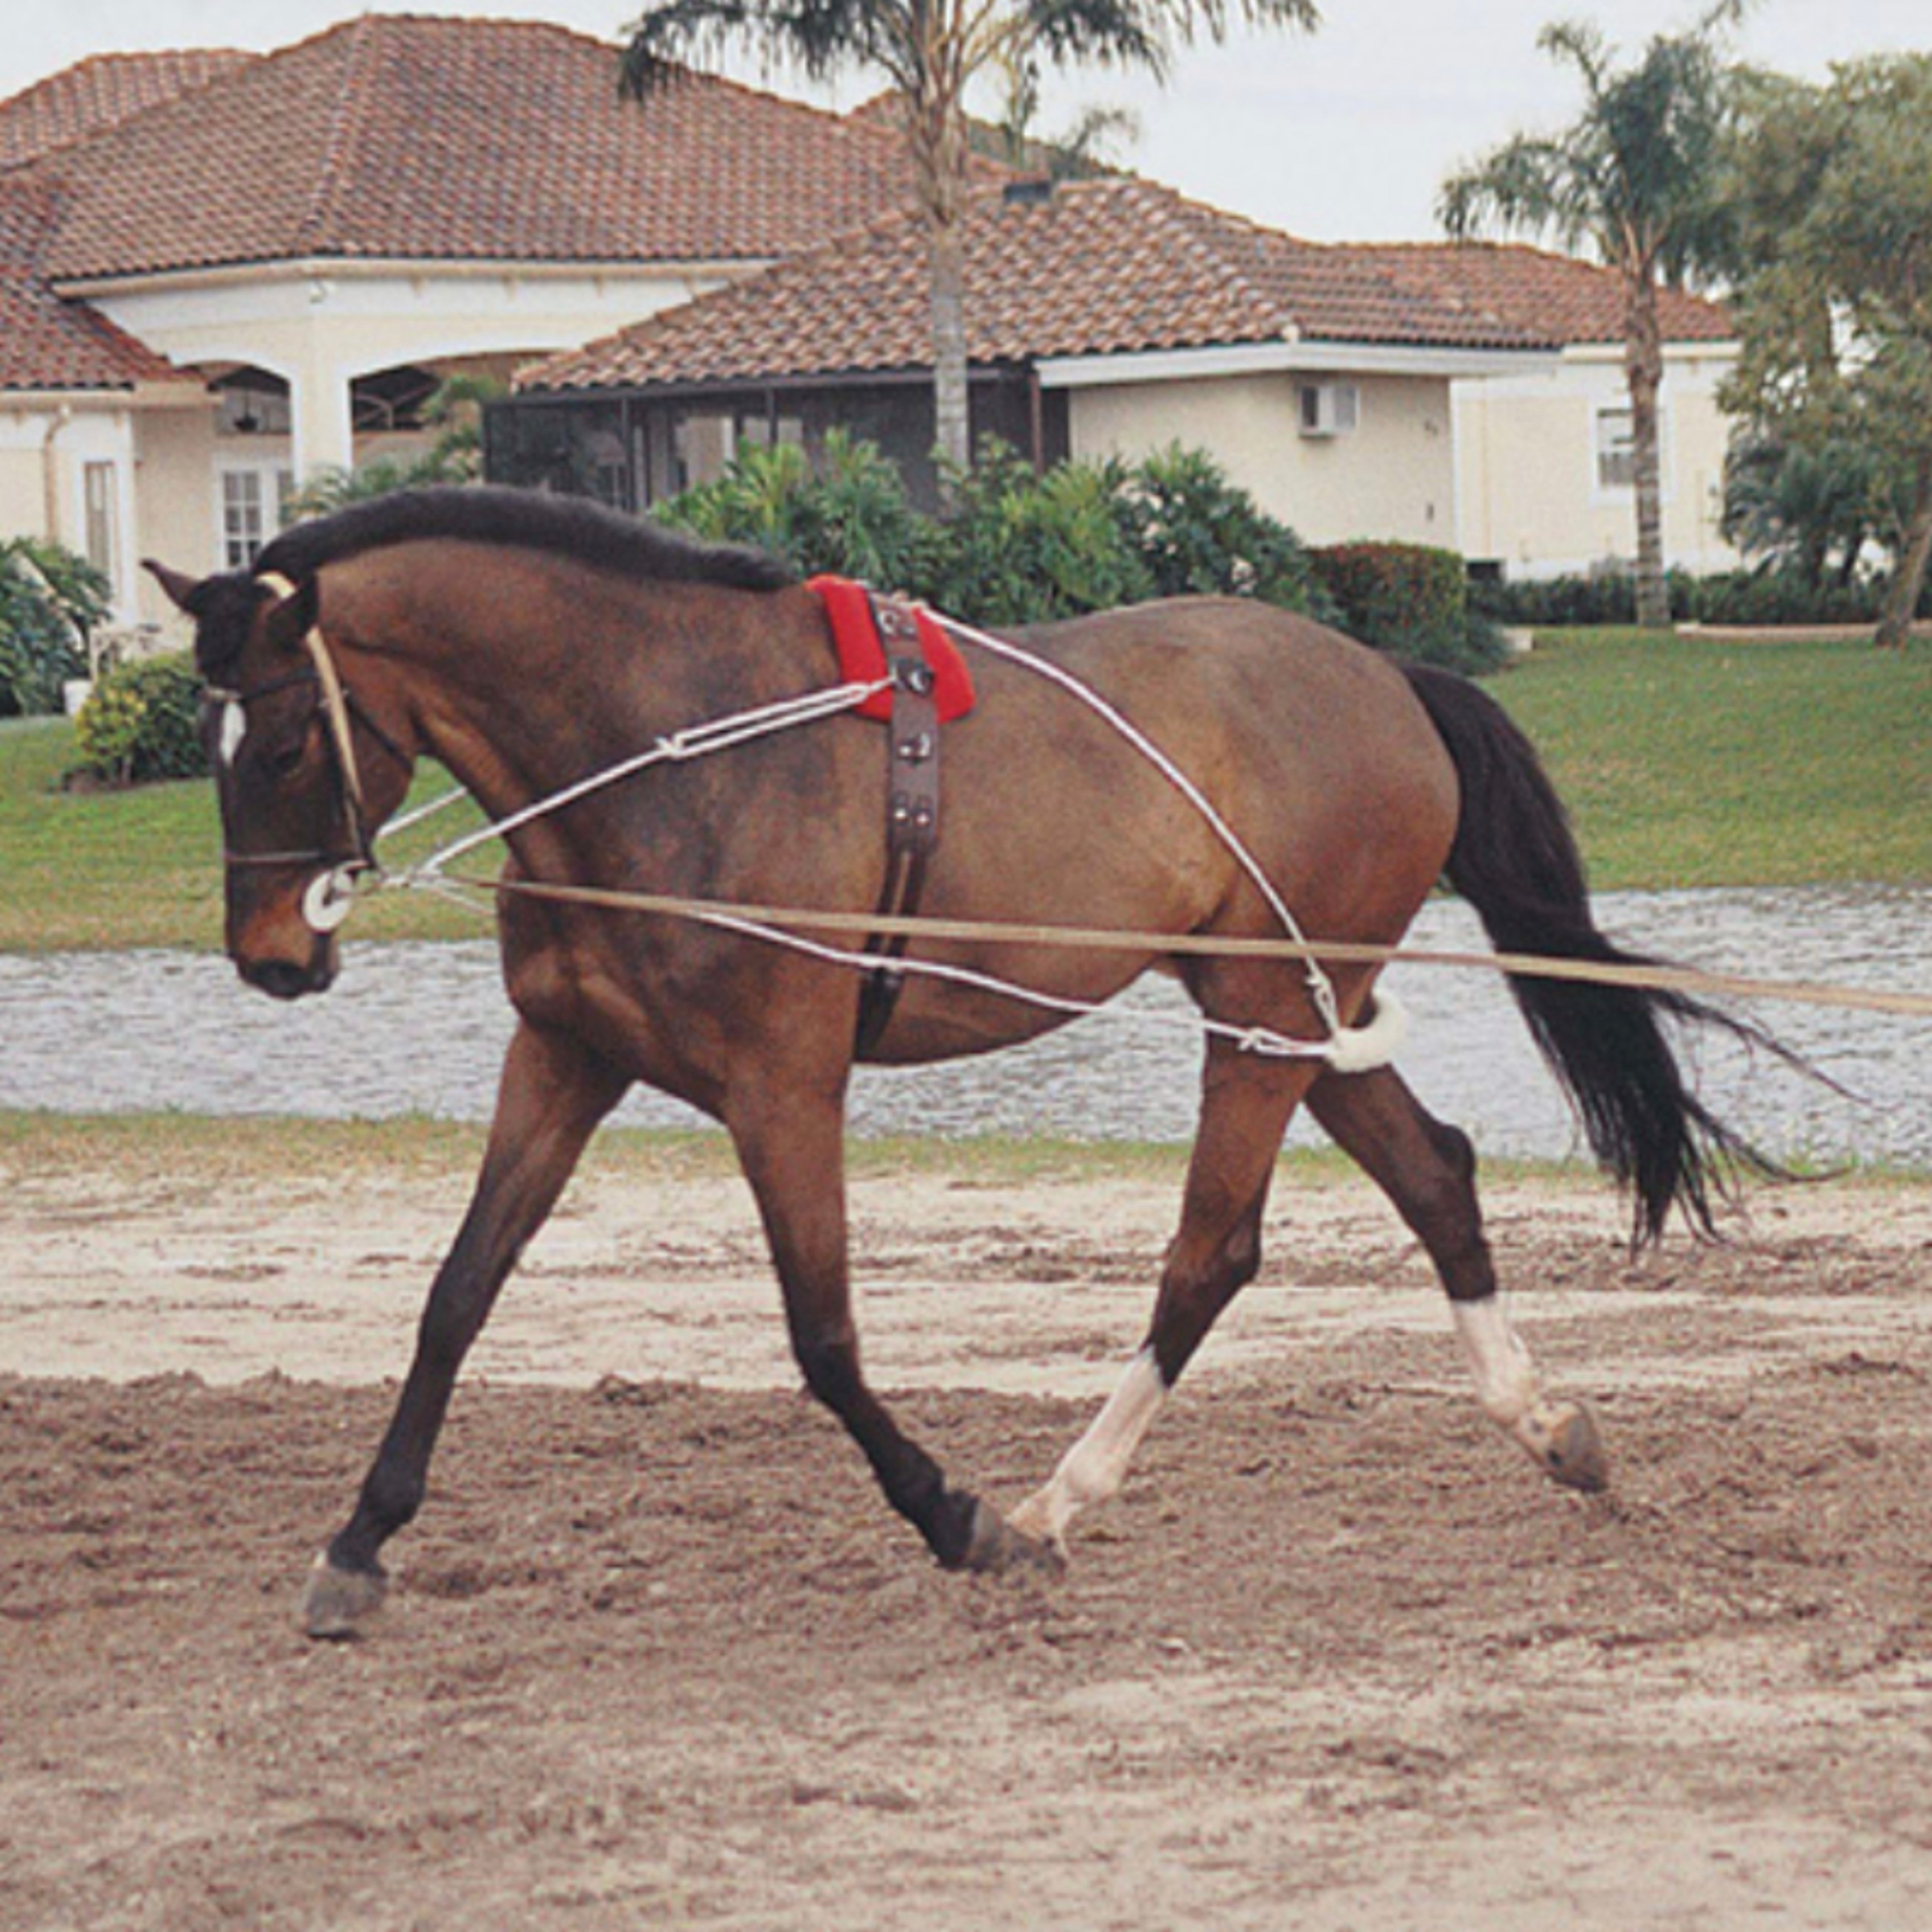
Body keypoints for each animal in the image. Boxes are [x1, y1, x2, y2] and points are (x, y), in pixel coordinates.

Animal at [143, 483, 1762, 1630]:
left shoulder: (783, 1089)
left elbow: (823, 1340)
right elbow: (456, 1297)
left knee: (1212, 1252)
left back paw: (1058, 1501)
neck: (668, 746)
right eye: (203, 744)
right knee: (1434, 1177)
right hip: (1290, 1014)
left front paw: (955, 1517)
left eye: (280, 740)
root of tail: (1383, 674)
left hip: (1261, 1017)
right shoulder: (563, 1060)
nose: (270, 954)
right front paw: (358, 1541)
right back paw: (1545, 1426)